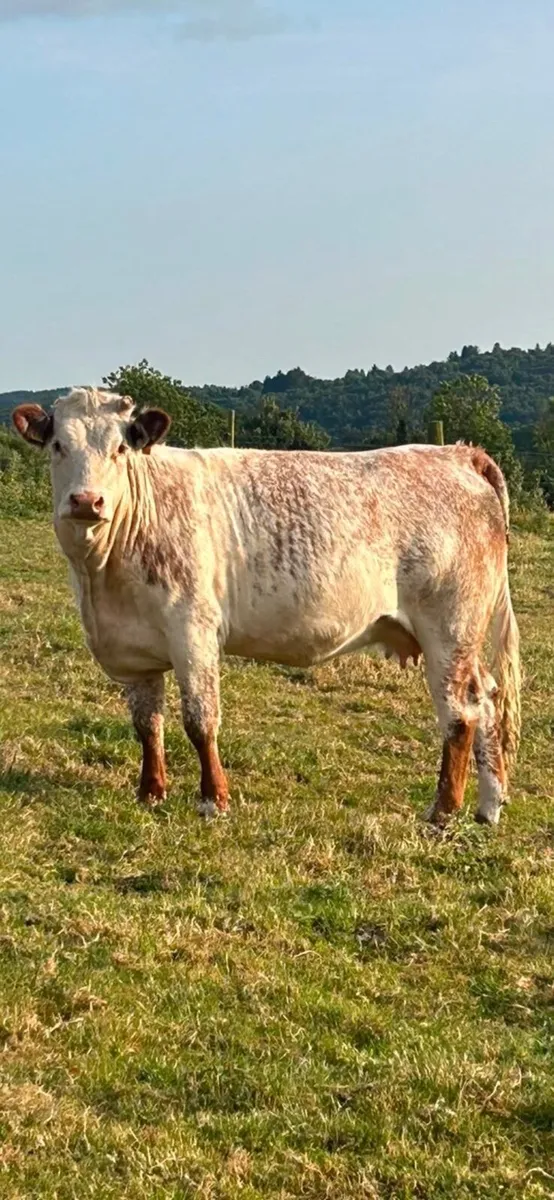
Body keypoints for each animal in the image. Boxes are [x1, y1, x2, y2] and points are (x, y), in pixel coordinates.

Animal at [12, 388, 521, 827]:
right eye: (57, 445)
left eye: (120, 449)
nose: (86, 500)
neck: (103, 579)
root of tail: (457, 453)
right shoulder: (135, 650)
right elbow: (147, 725)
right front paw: (150, 793)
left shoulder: (193, 632)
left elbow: (200, 720)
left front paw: (213, 800)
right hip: (461, 639)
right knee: (487, 699)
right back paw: (488, 806)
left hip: (449, 628)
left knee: (461, 714)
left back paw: (442, 813)